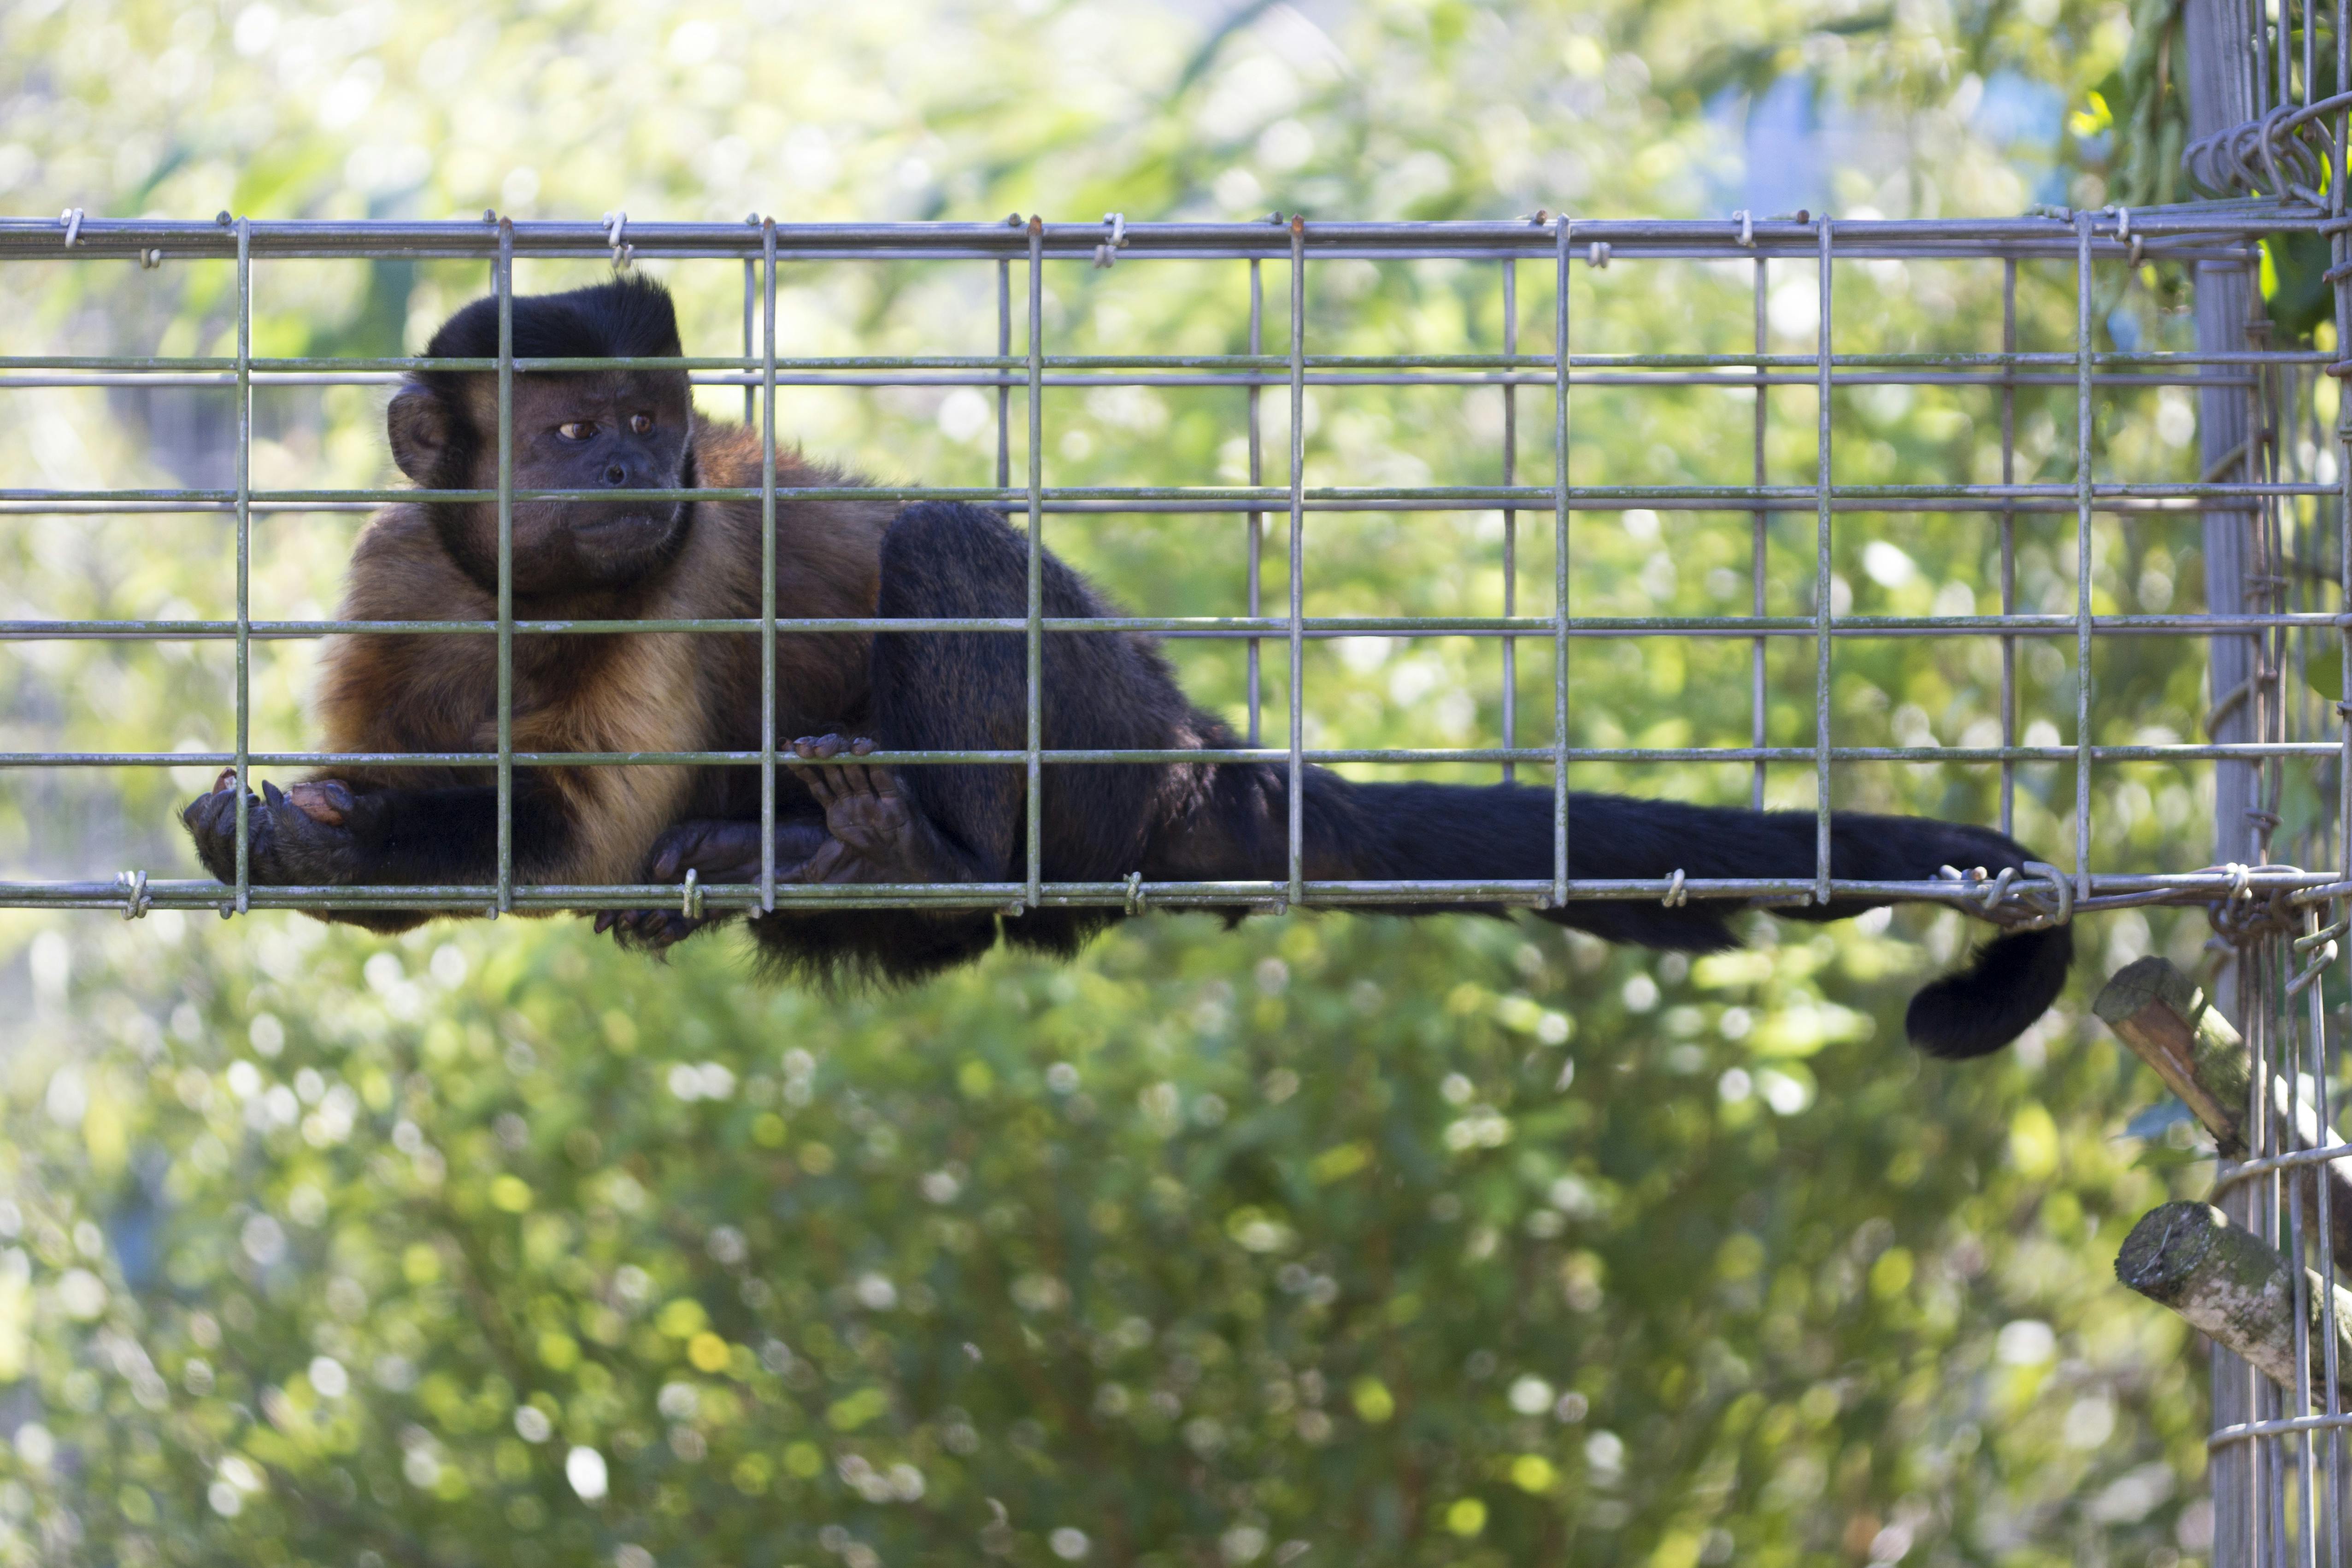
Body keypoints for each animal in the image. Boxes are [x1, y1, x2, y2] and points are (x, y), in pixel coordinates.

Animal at [181, 276, 2071, 1060]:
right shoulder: (395, 569)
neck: (516, 595)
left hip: (1098, 744)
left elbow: (576, 834)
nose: (647, 465)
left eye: (654, 420)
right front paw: (302, 837)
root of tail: (1191, 742)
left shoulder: (675, 580)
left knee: (957, 558)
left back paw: (920, 856)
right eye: (578, 431)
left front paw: (307, 839)